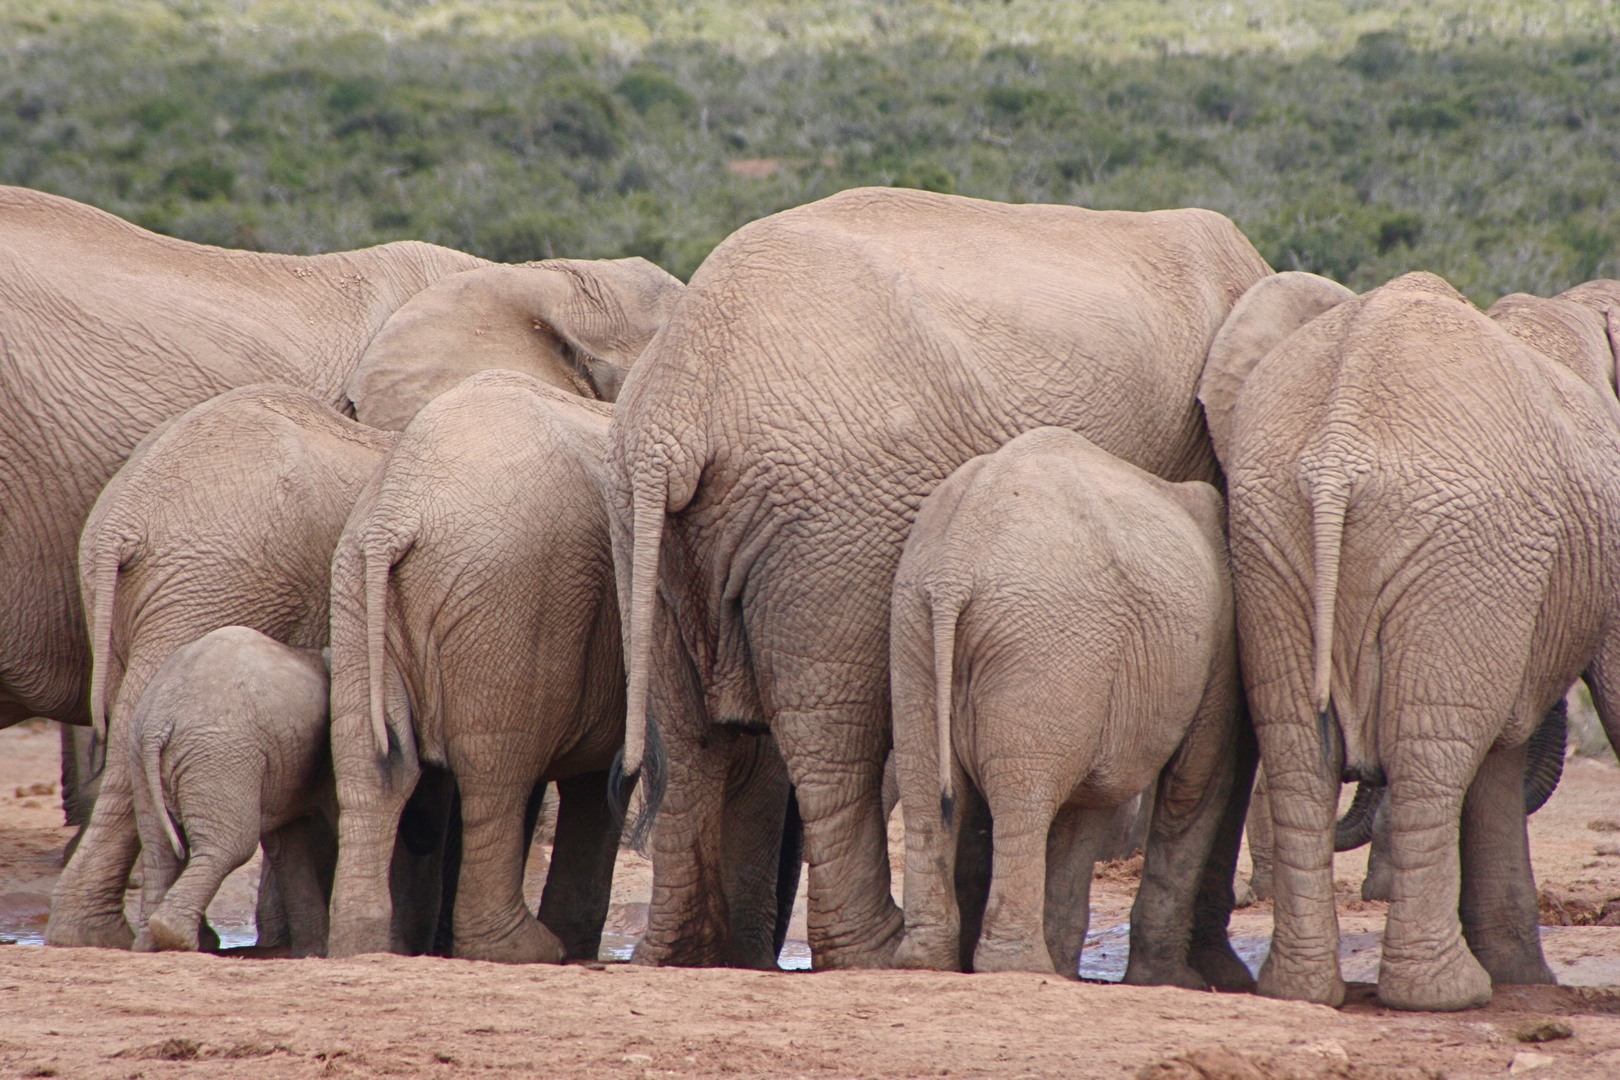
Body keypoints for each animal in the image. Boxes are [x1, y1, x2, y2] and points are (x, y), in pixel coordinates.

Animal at [131, 628, 336, 958]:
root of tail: (156, 721)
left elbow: (287, 845)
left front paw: (313, 951)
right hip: (222, 752)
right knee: (231, 846)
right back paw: (180, 938)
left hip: (140, 755)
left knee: (160, 851)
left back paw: (149, 944)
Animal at [887, 427, 1250, 990]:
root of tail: (954, 568)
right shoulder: (1218, 647)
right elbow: (1196, 783)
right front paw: (1175, 982)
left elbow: (1087, 810)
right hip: (1042, 638)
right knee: (1024, 796)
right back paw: (1019, 968)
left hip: (915, 628)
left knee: (927, 787)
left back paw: (926, 962)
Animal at [1211, 270, 1620, 1016]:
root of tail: (1337, 450)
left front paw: (1523, 975)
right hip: (1462, 550)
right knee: (1432, 755)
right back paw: (1445, 996)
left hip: (1269, 533)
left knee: (1298, 751)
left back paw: (1302, 990)